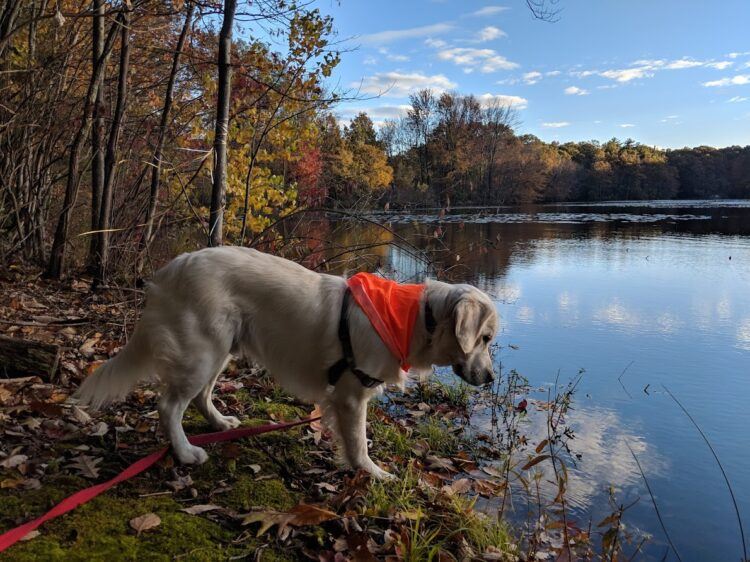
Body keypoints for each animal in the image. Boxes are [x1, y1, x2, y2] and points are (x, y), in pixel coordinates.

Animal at [75, 245, 500, 476]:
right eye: (485, 338)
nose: (491, 379)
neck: (415, 319)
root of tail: (172, 267)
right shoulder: (351, 396)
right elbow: (358, 443)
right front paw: (373, 473)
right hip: (203, 351)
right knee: (169, 407)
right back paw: (184, 452)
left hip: (221, 348)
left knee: (199, 397)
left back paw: (220, 423)